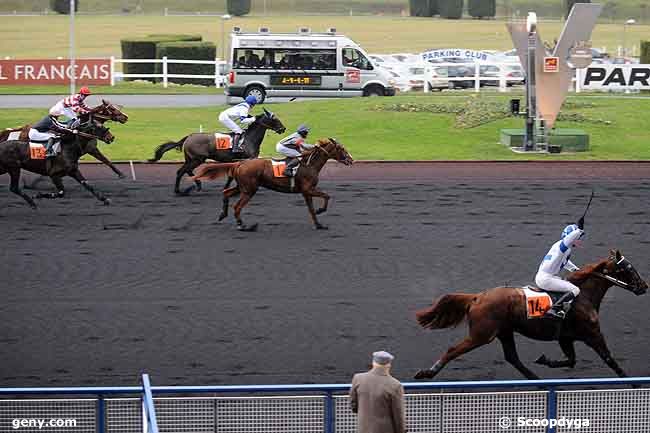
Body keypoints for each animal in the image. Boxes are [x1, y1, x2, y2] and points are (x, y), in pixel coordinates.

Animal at [0, 99, 129, 177]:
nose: (125, 117)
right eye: (112, 109)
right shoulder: (90, 149)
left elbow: (106, 161)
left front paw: (121, 174)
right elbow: (105, 160)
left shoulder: (90, 149)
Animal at [151, 107, 286, 195]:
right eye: (275, 119)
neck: (249, 138)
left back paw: (197, 185)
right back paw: (179, 190)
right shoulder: (248, 159)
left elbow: (231, 176)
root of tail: (189, 136)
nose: (283, 129)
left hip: (191, 159)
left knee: (185, 171)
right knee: (181, 171)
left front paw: (227, 188)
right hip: (197, 159)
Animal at [191, 138, 352, 231]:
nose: (350, 160)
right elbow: (327, 196)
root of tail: (240, 163)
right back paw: (243, 225)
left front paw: (319, 224)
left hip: (243, 187)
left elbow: (311, 209)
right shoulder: (308, 189)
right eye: (342, 149)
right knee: (237, 207)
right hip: (249, 190)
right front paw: (320, 210)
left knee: (226, 193)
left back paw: (222, 214)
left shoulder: (305, 192)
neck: (309, 164)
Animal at [412, 250, 644, 378]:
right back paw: (427, 373)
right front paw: (631, 383)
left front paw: (544, 360)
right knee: (453, 350)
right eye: (629, 269)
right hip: (482, 335)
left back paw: (536, 379)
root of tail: (477, 297)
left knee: (512, 358)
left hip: (504, 332)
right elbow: (610, 360)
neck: (583, 295)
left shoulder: (565, 337)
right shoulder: (593, 334)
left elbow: (570, 361)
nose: (644, 286)